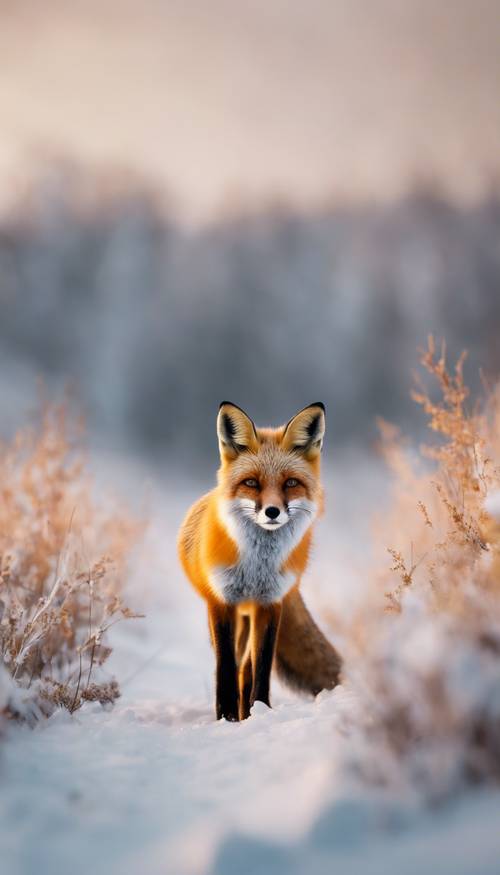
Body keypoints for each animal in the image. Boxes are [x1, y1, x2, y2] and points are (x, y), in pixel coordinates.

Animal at [178, 400, 342, 724]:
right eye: (251, 482)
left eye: (290, 483)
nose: (272, 512)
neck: (257, 566)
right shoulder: (221, 602)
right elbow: (225, 668)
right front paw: (226, 718)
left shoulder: (269, 603)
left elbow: (261, 668)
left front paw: (258, 709)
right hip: (233, 617)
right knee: (234, 664)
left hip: (251, 616)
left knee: (246, 668)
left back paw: (247, 713)